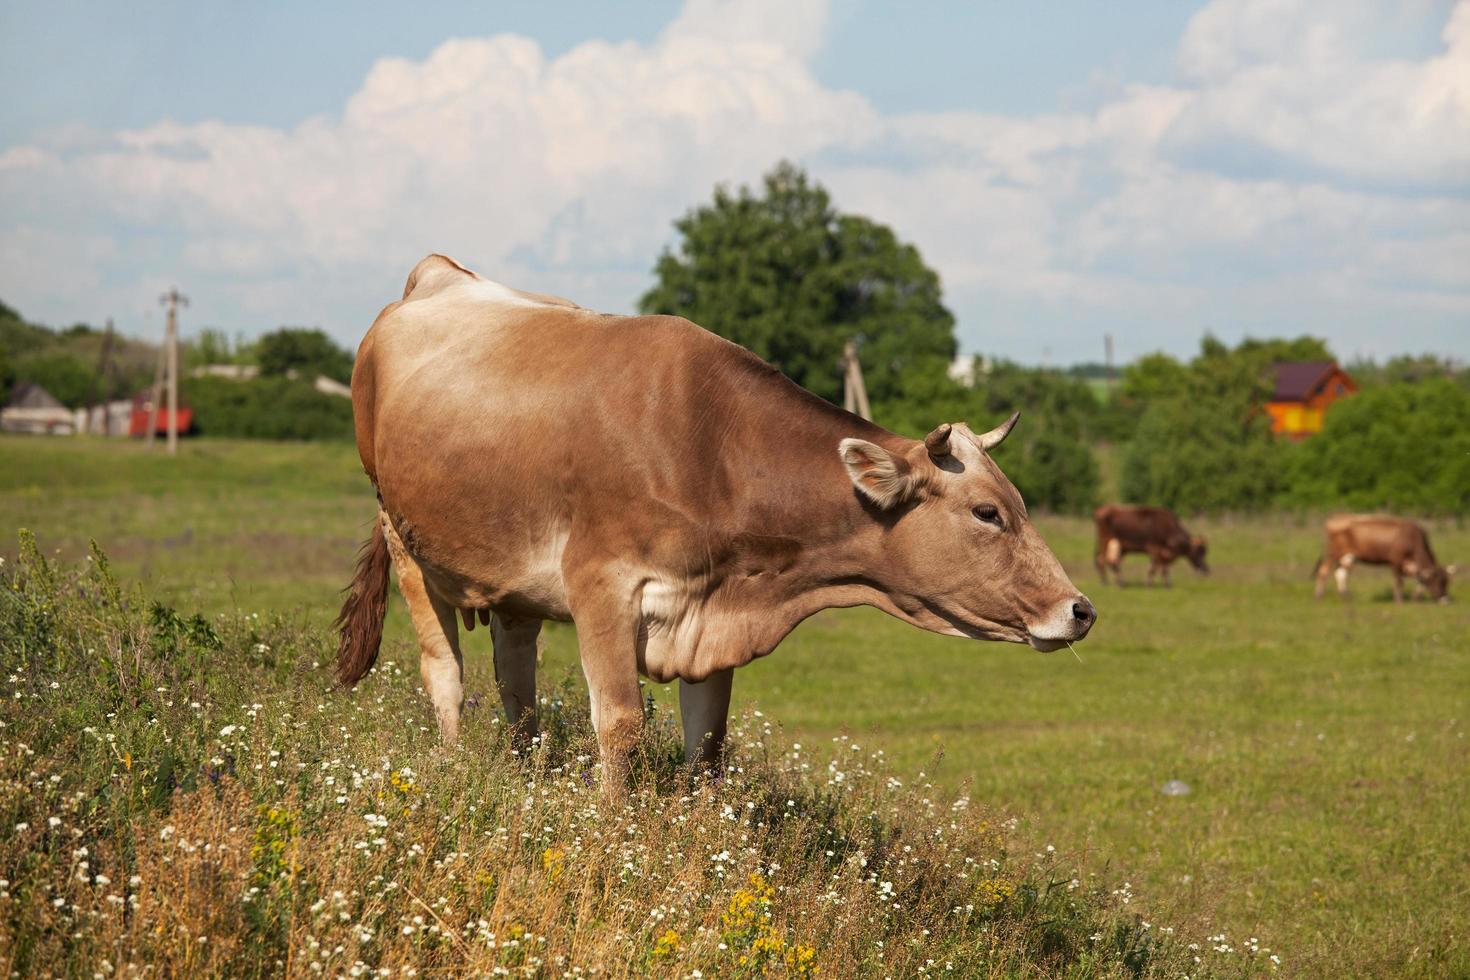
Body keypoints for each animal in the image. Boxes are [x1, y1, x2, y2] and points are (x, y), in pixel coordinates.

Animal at [333, 255, 1093, 799]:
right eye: (988, 512)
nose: (1080, 610)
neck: (710, 451)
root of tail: (438, 273)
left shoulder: (711, 617)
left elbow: (707, 742)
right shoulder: (602, 589)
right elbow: (620, 725)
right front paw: (610, 834)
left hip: (513, 580)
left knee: (516, 684)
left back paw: (523, 778)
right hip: (404, 539)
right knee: (446, 675)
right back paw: (457, 768)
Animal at [1317, 517, 1452, 602]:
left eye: (1447, 581)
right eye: (1439, 581)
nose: (1445, 600)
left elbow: (1420, 580)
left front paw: (1415, 598)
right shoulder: (1395, 560)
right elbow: (1399, 581)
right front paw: (1399, 601)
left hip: (1348, 557)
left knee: (1340, 574)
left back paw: (1346, 596)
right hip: (1333, 554)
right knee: (1323, 571)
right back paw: (1319, 596)